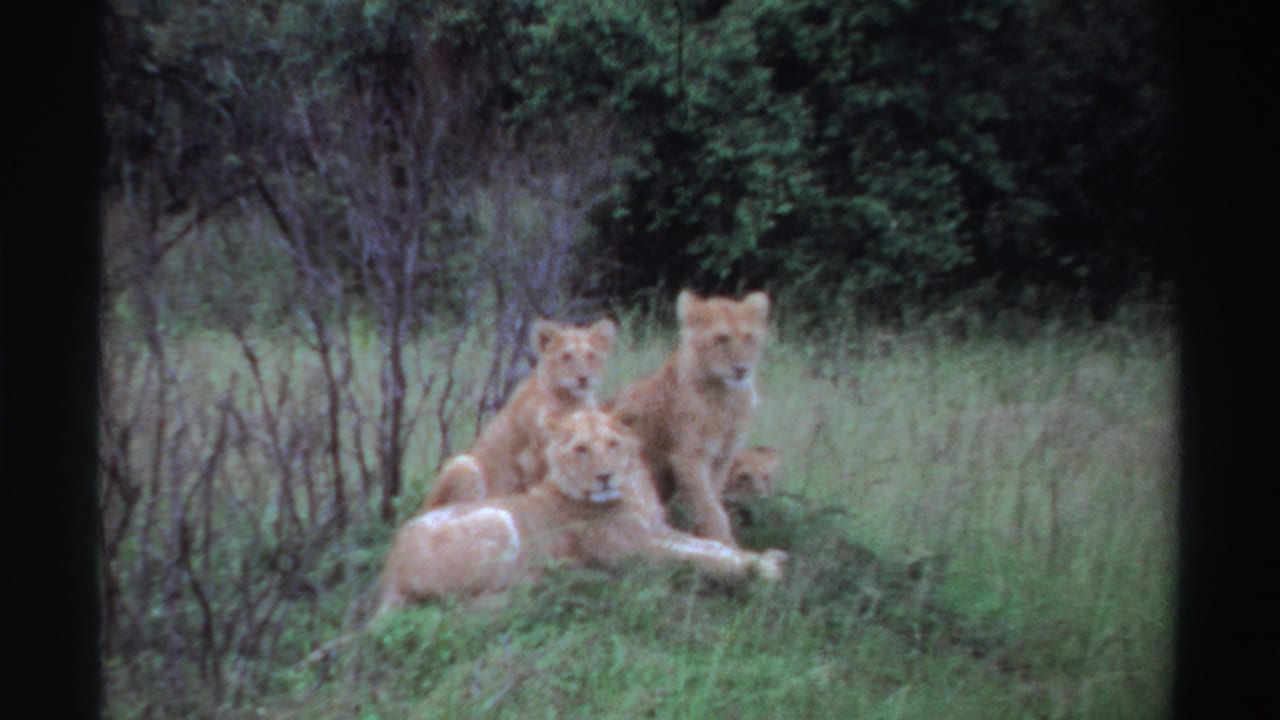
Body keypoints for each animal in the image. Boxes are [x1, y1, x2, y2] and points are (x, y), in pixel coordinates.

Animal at [376, 408, 787, 615]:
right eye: (581, 449)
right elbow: (698, 558)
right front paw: (762, 569)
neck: (633, 488)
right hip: (496, 517)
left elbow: (711, 547)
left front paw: (762, 557)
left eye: (612, 443)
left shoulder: (656, 530)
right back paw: (561, 578)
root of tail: (390, 567)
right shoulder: (635, 551)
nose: (605, 476)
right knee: (469, 604)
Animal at [420, 318, 616, 512]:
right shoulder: (530, 457)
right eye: (566, 356)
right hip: (464, 466)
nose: (583, 378)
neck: (571, 400)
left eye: (591, 355)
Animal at [607, 290, 770, 546]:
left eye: (748, 338)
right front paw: (725, 544)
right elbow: (710, 508)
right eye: (722, 339)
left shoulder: (722, 456)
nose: (741, 369)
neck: (727, 397)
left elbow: (712, 498)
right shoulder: (689, 457)